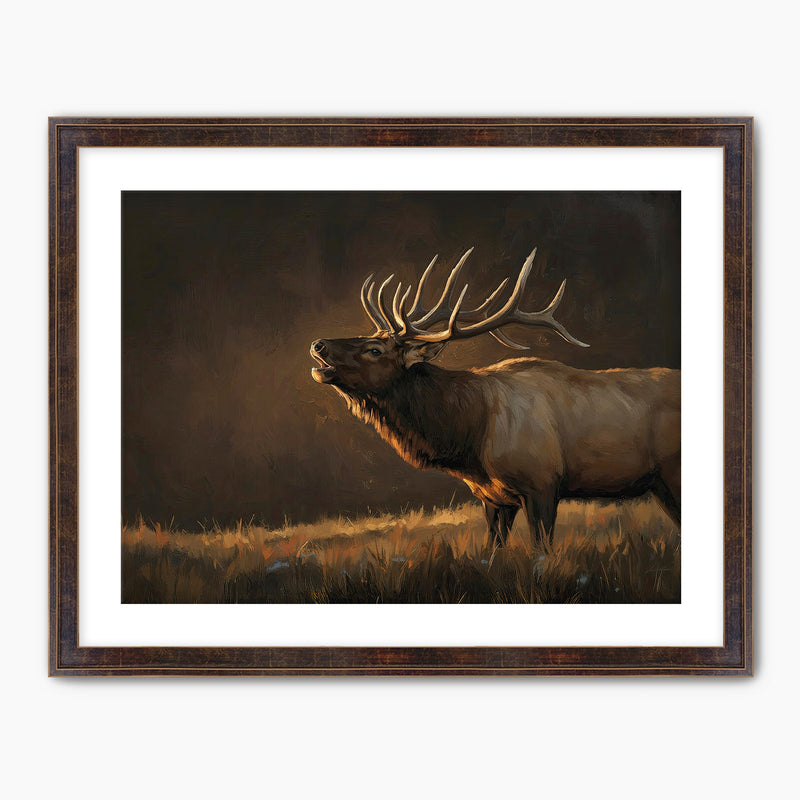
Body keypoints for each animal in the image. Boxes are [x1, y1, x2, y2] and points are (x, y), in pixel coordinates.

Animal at [310, 247, 680, 549]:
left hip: (672, 473)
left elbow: (541, 552)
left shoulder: (542, 483)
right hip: (660, 485)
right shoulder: (494, 497)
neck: (471, 439)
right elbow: (492, 553)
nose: (318, 344)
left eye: (375, 349)